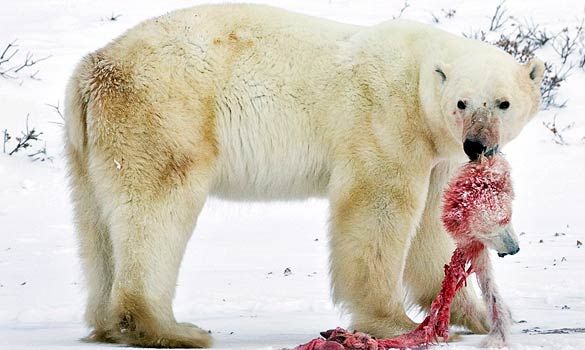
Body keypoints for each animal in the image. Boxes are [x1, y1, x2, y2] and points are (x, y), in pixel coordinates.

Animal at [64, 2, 544, 348]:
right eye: (462, 102)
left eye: (503, 103)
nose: (477, 145)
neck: (419, 77)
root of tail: (94, 67)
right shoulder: (386, 119)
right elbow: (378, 207)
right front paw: (393, 322)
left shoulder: (437, 152)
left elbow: (432, 226)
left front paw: (476, 316)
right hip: (164, 113)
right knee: (157, 209)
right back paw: (170, 329)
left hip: (90, 144)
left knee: (96, 224)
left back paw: (108, 323)